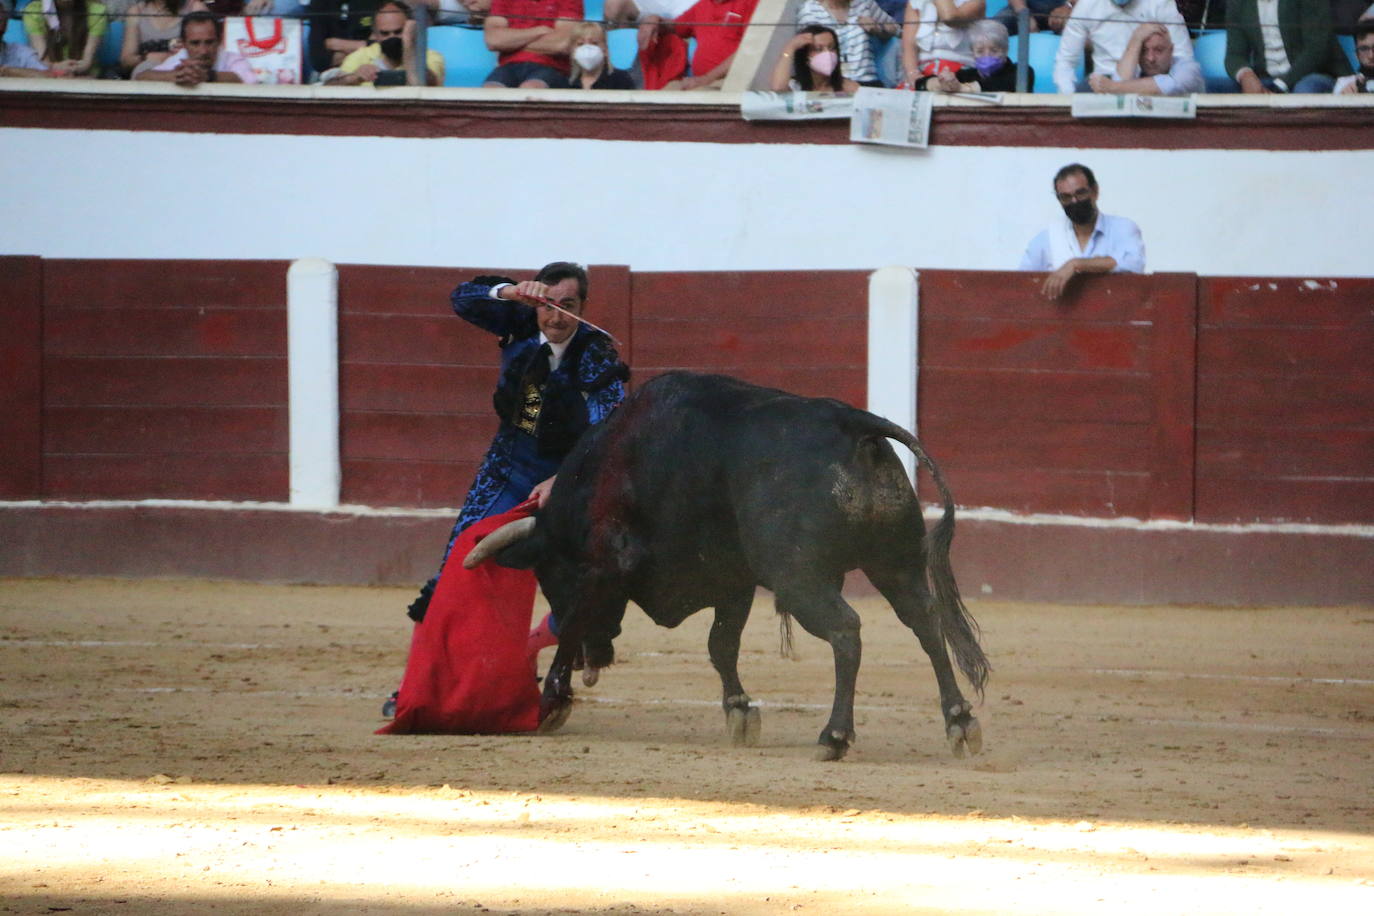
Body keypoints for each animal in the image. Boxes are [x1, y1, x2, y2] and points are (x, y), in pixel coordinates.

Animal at [467, 370, 994, 758]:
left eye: (548, 576)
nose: (593, 662)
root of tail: (855, 423)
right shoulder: (733, 581)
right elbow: (721, 645)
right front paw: (740, 711)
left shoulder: (603, 563)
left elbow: (575, 620)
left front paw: (552, 700)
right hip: (895, 563)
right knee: (925, 622)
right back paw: (959, 721)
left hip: (801, 578)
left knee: (846, 630)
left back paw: (834, 736)